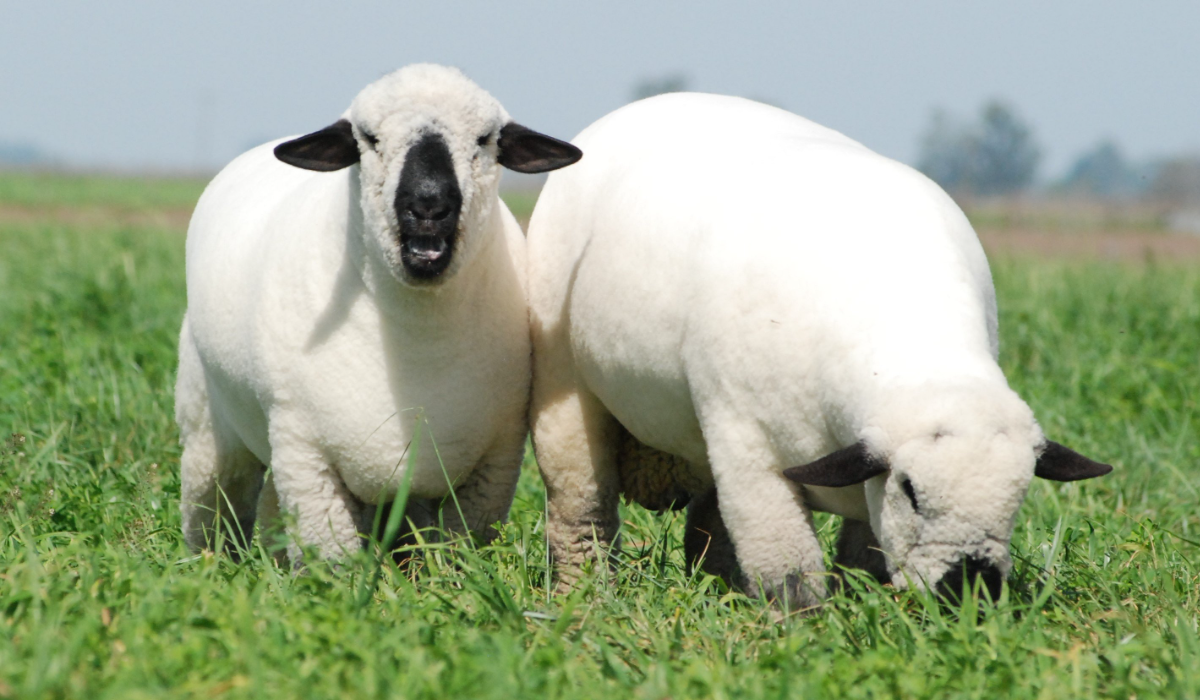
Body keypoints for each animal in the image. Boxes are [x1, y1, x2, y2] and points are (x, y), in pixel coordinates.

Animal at [176, 64, 580, 564]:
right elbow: (332, 566)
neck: (419, 337)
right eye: (367, 138)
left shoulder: (493, 462)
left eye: (486, 139)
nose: (428, 204)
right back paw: (207, 564)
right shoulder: (305, 455)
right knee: (214, 504)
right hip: (206, 420)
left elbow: (455, 556)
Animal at [530, 91, 1108, 607]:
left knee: (707, 529)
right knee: (582, 508)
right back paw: (585, 598)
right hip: (566, 385)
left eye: (1019, 494)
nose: (969, 591)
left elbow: (862, 560)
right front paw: (800, 631)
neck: (915, 337)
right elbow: (787, 573)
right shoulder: (751, 453)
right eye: (910, 490)